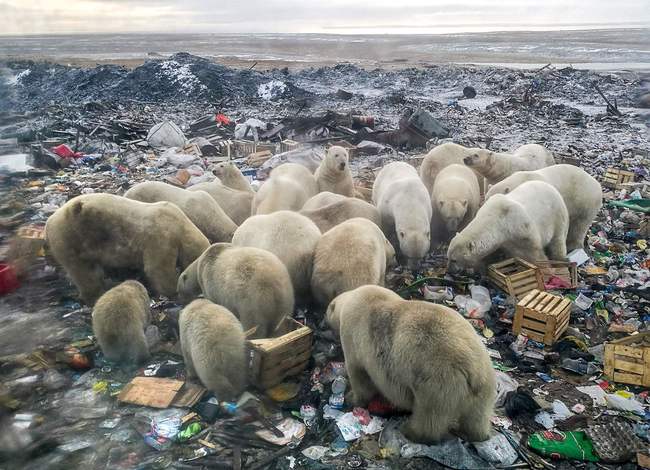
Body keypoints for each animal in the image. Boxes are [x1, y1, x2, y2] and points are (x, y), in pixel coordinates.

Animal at [45, 194, 208, 306]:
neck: (181, 225)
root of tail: (49, 222)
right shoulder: (161, 237)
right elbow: (158, 269)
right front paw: (173, 292)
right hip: (71, 238)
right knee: (84, 272)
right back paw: (95, 295)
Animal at [326, 284, 494, 442]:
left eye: (327, 311)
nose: (322, 324)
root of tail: (473, 370)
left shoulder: (353, 336)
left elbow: (359, 375)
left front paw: (351, 398)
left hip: (438, 382)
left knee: (429, 415)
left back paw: (411, 431)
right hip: (484, 386)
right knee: (477, 416)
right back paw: (475, 434)